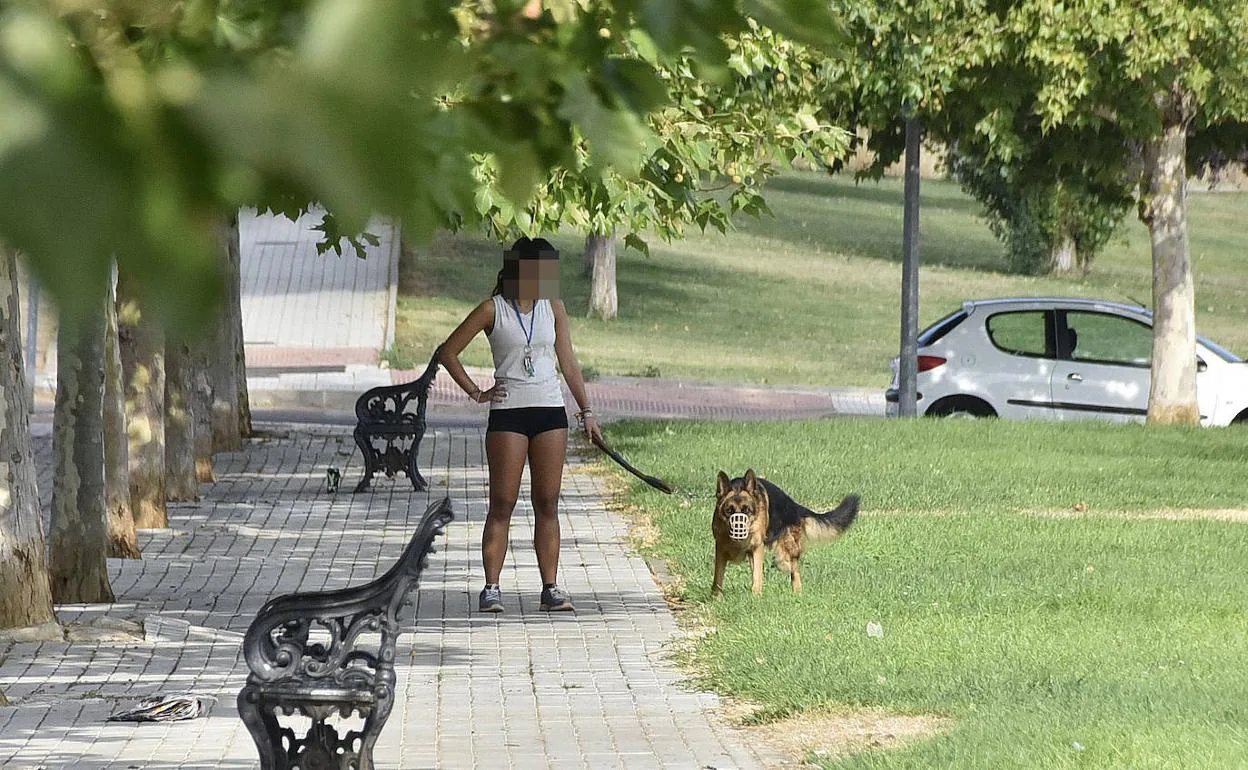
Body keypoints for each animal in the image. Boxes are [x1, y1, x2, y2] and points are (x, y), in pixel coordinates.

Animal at [713, 464, 858, 596]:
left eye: (747, 510)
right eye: (729, 511)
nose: (739, 528)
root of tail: (794, 506)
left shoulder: (757, 547)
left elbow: (757, 576)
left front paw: (756, 596)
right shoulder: (720, 549)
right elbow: (718, 577)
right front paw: (716, 598)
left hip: (786, 550)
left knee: (794, 569)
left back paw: (797, 591)